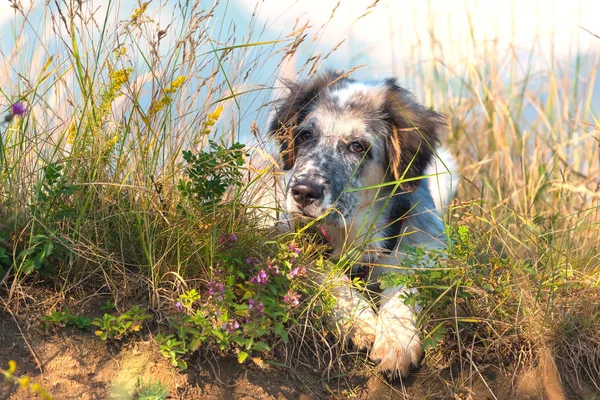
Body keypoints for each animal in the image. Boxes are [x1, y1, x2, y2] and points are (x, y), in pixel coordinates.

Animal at [268, 69, 460, 378]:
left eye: (357, 146)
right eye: (305, 135)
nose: (303, 192)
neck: (354, 230)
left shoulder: (425, 246)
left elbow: (403, 285)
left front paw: (397, 341)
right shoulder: (289, 238)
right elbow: (329, 274)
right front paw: (359, 321)